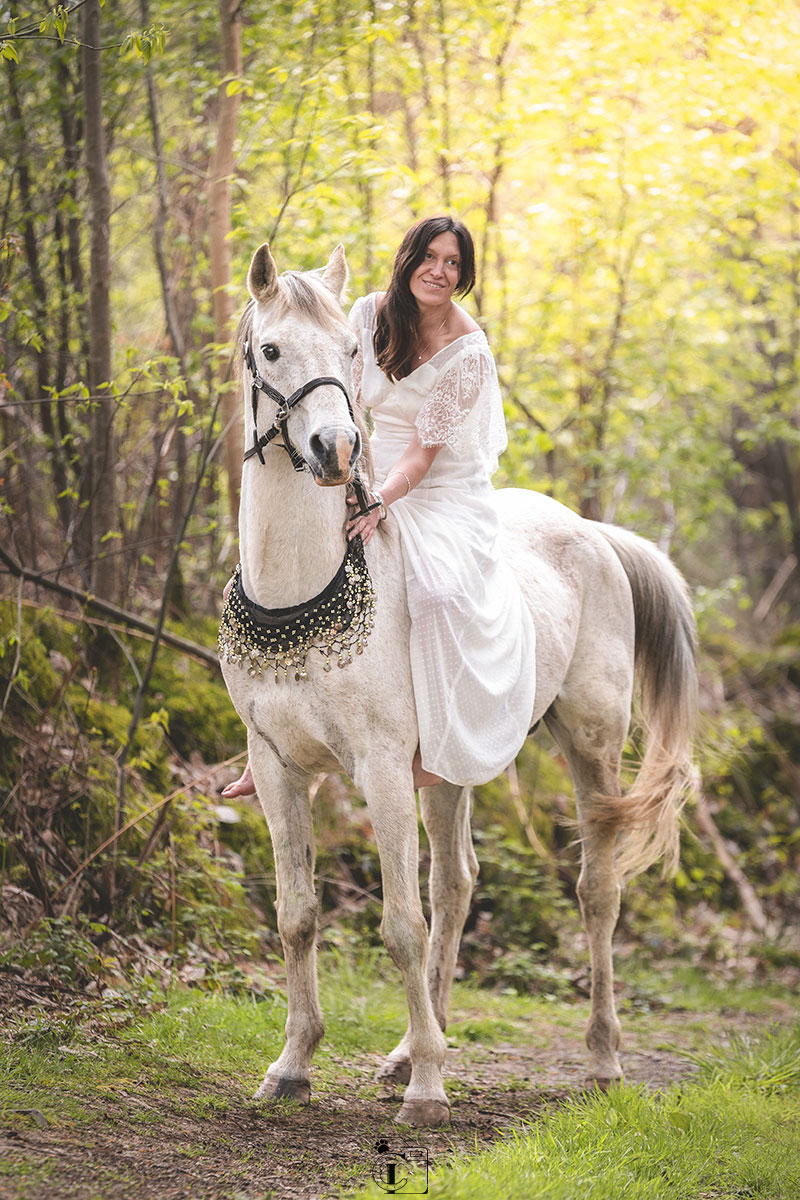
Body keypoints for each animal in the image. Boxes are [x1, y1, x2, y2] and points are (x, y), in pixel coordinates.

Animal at [219, 241, 695, 1123]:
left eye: (351, 351)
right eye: (269, 351)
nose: (337, 450)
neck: (300, 590)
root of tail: (591, 530)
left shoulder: (377, 768)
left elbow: (399, 924)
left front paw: (431, 1090)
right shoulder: (276, 767)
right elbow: (298, 915)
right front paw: (294, 1063)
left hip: (590, 745)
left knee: (595, 890)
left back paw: (601, 1058)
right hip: (449, 765)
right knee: (457, 885)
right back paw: (412, 1048)